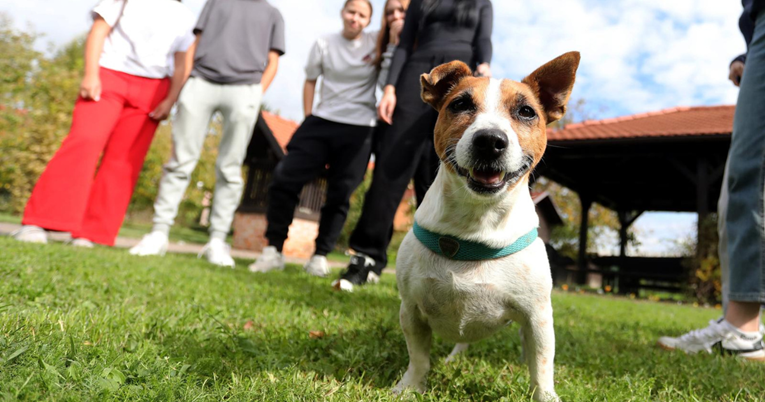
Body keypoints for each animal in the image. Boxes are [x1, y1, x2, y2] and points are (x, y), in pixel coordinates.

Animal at [394, 51, 580, 400]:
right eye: (460, 104)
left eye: (526, 111)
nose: (490, 140)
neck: (477, 222)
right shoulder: (411, 310)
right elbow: (418, 357)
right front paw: (410, 387)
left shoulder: (538, 318)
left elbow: (542, 366)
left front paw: (545, 395)